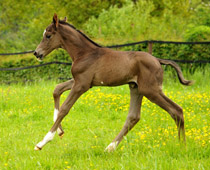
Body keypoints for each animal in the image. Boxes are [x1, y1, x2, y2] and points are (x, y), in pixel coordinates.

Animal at [33, 13, 192, 151]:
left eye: (48, 35)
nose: (37, 53)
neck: (85, 53)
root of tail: (158, 60)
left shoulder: (81, 85)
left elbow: (65, 109)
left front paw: (43, 142)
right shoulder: (81, 81)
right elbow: (57, 89)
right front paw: (60, 131)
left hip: (151, 90)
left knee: (176, 110)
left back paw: (182, 146)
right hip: (136, 88)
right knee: (133, 117)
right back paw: (110, 148)